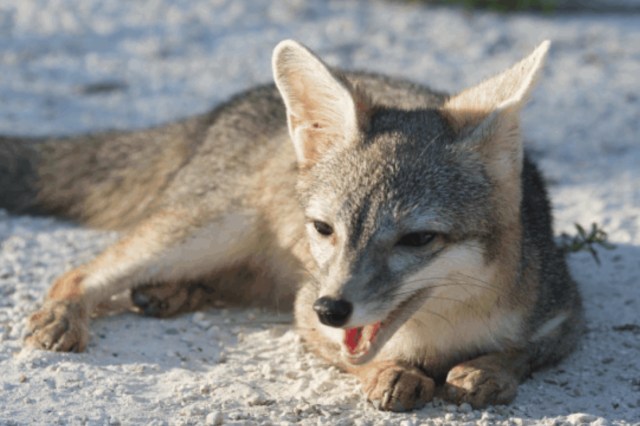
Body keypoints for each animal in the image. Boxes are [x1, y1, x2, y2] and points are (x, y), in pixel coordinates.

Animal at [0, 39, 582, 412]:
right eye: (324, 229)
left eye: (418, 239)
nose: (333, 308)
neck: (438, 336)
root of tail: (229, 105)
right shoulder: (303, 312)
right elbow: (351, 357)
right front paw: (393, 372)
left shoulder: (567, 312)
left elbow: (525, 352)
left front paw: (489, 369)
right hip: (205, 233)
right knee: (81, 272)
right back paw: (72, 311)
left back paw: (172, 292)